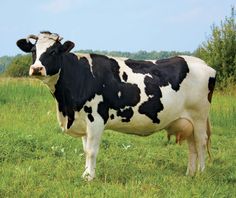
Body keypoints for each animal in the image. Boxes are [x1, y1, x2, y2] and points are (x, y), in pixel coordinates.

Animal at [16, 31, 216, 181]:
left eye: (54, 51)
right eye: (33, 50)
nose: (36, 68)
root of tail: (202, 63)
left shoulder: (95, 119)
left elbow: (91, 151)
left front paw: (89, 177)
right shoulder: (83, 120)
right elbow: (85, 149)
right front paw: (85, 174)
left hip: (199, 116)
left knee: (200, 143)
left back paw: (201, 174)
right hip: (187, 120)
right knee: (192, 146)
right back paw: (190, 174)